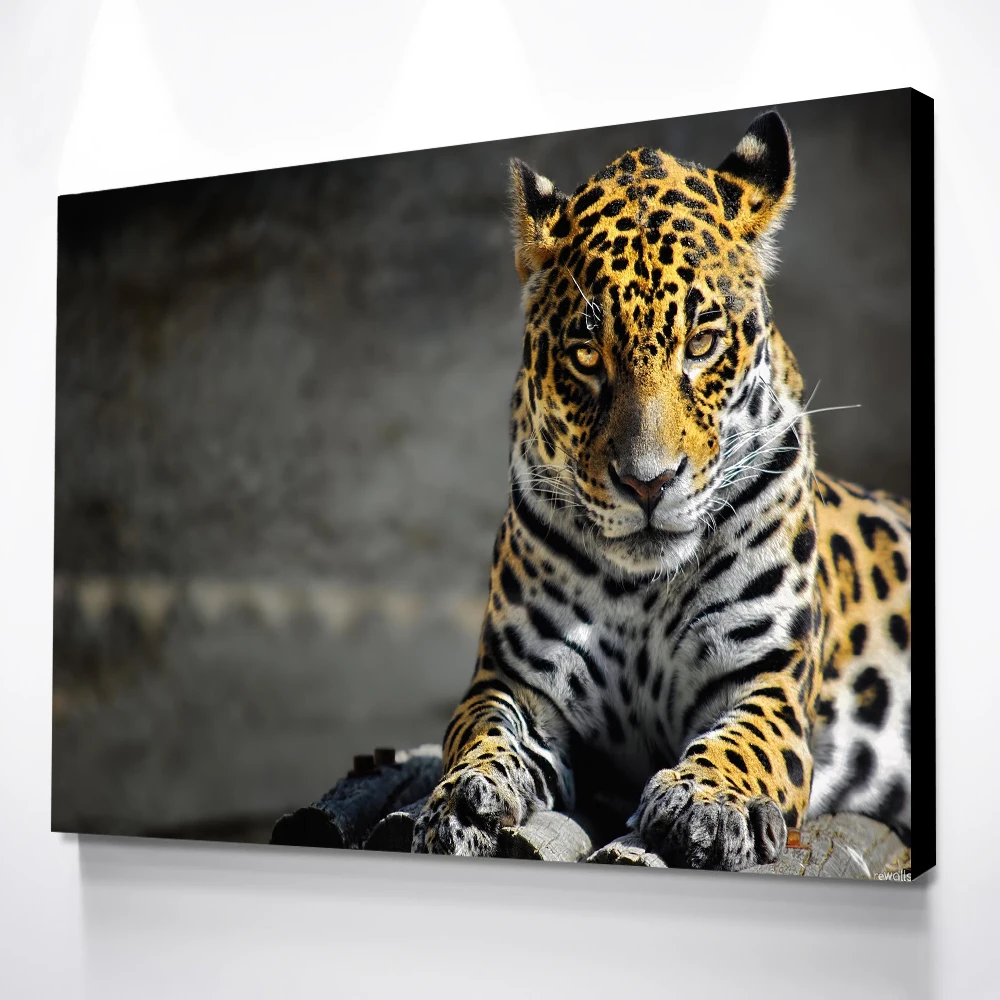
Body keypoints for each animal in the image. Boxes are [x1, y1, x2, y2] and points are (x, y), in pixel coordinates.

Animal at [411, 111, 912, 871]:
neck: (642, 592)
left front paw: (706, 803)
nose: (647, 483)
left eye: (702, 345)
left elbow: (744, 742)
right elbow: (479, 730)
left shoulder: (766, 677)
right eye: (587, 356)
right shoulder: (515, 680)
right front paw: (463, 799)